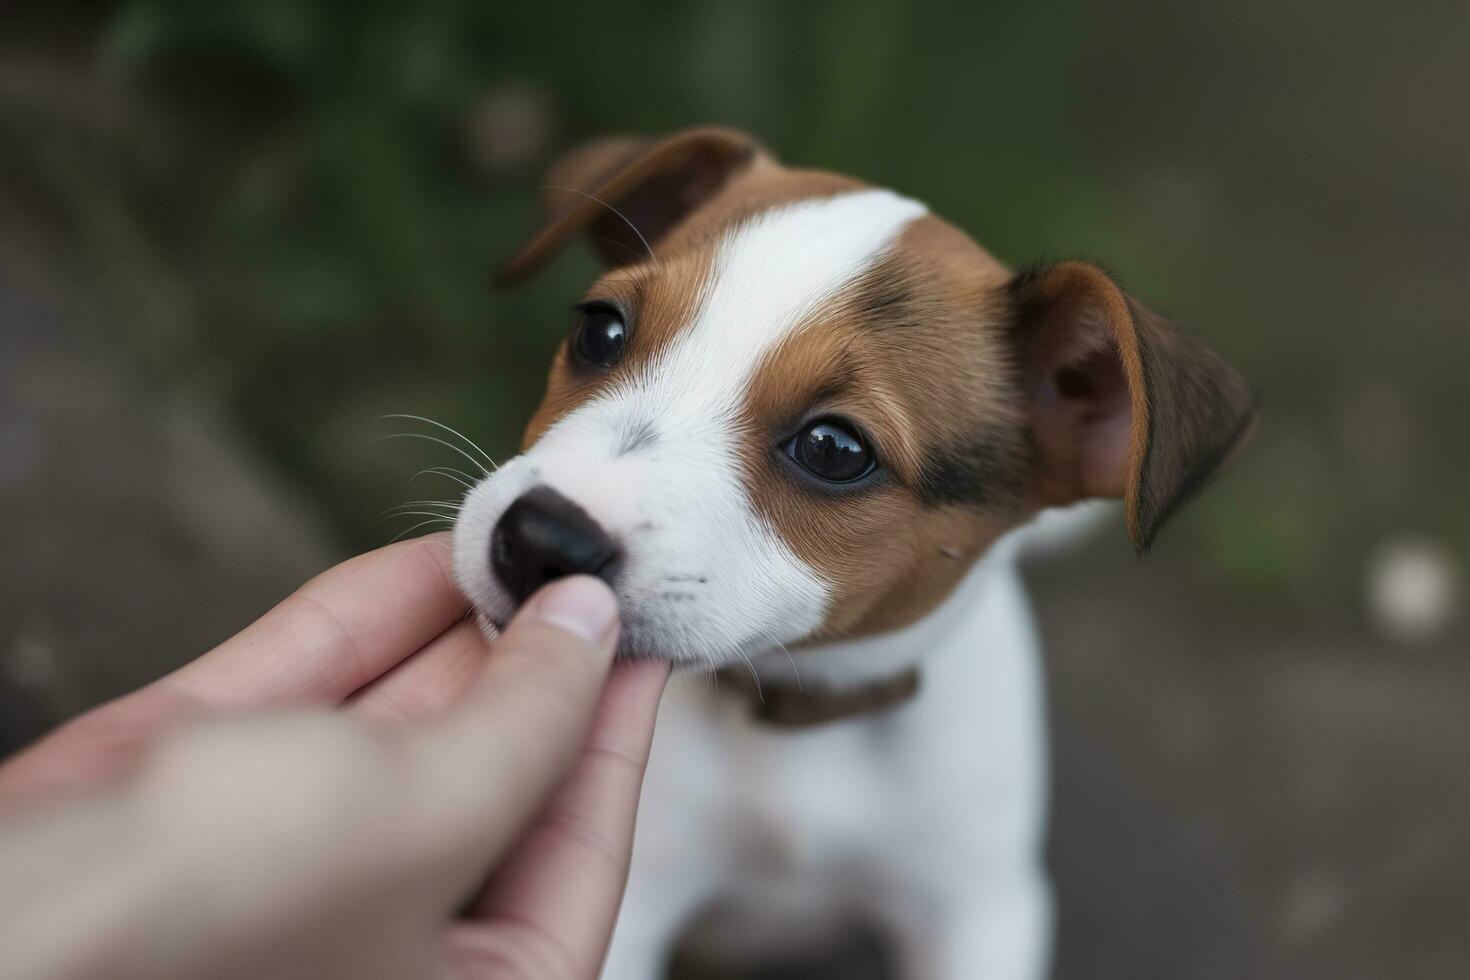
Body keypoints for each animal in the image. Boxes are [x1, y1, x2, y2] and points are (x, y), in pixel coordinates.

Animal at [449, 126, 1252, 975]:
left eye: (834, 449)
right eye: (599, 330)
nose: (538, 540)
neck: (800, 715)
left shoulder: (980, 909)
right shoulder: (634, 903)